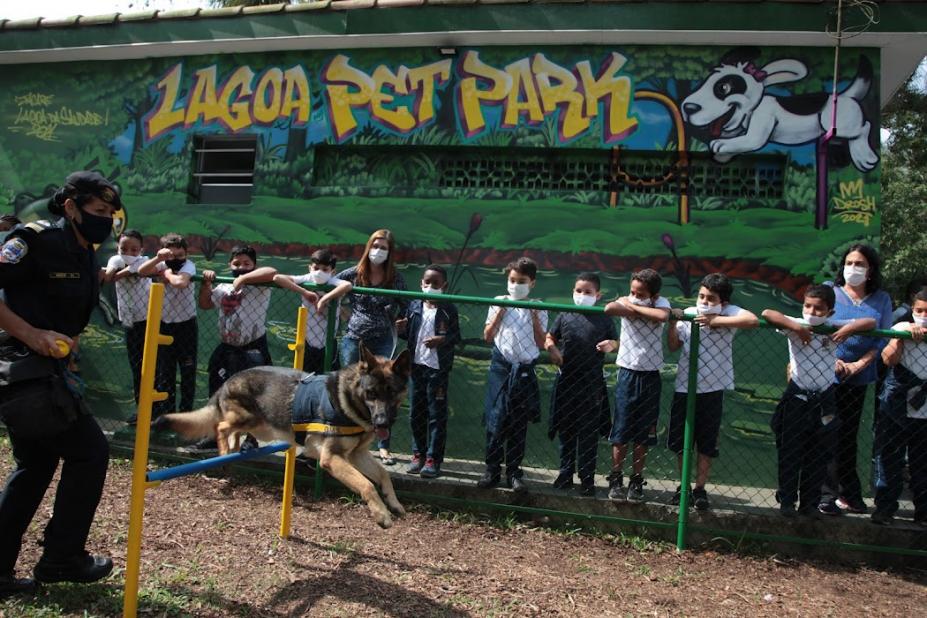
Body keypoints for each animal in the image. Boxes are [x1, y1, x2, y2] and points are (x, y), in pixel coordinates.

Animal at [158, 344, 412, 528]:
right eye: (371, 393)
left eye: (391, 393)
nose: (382, 422)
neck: (348, 400)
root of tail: (228, 380)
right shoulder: (332, 458)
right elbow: (366, 484)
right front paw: (381, 515)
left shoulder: (356, 455)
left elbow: (382, 475)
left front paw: (394, 503)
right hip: (250, 419)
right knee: (221, 426)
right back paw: (223, 452)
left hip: (260, 426)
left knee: (232, 432)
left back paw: (231, 451)